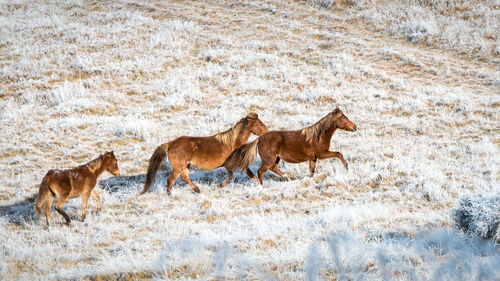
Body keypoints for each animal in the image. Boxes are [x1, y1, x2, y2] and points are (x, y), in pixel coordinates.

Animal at [139, 112, 268, 195]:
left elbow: (232, 175)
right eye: (259, 124)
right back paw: (170, 195)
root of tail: (170, 143)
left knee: (184, 178)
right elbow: (246, 175)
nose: (267, 131)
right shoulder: (237, 164)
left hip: (185, 166)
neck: (233, 143)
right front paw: (260, 185)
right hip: (178, 167)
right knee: (170, 180)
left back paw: (197, 190)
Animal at [221, 107, 358, 186]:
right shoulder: (322, 154)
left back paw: (287, 177)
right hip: (269, 159)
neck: (318, 136)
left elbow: (312, 172)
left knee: (273, 168)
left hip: (276, 158)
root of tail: (259, 138)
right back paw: (262, 186)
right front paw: (346, 168)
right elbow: (338, 154)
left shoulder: (313, 158)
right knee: (261, 171)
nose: (355, 127)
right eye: (344, 117)